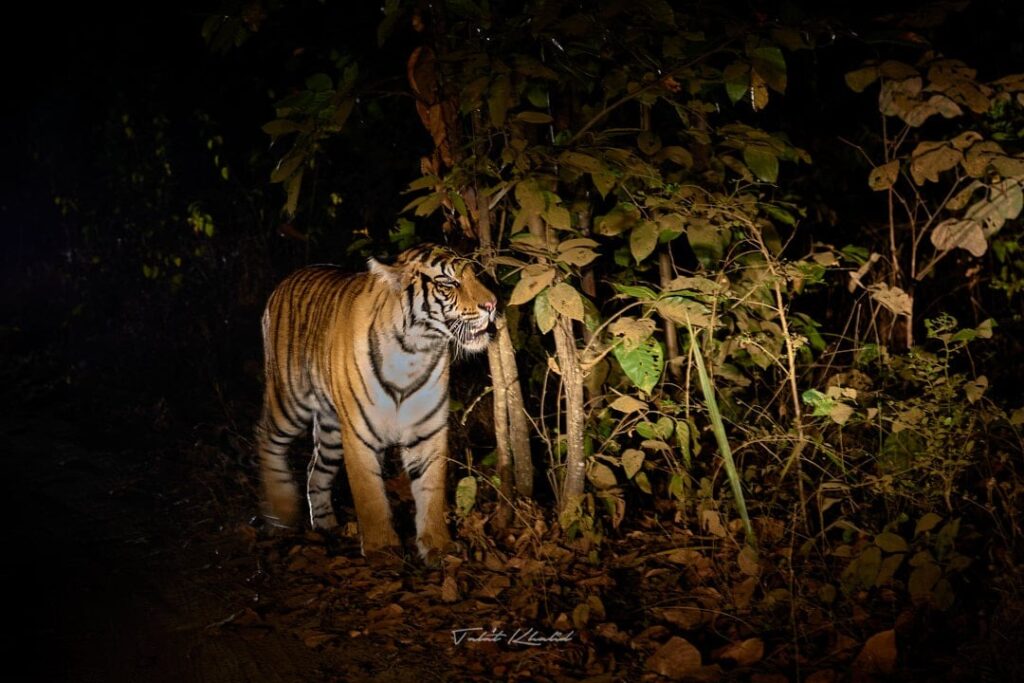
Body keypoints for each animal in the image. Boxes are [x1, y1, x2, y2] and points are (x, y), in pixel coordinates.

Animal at [254, 242, 495, 565]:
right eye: (448, 282)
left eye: (473, 275)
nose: (492, 305)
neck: (414, 352)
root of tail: (288, 278)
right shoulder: (359, 434)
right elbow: (369, 494)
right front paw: (382, 549)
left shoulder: (428, 431)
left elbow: (431, 490)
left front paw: (437, 546)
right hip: (289, 400)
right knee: (266, 437)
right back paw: (281, 511)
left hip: (331, 427)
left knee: (315, 469)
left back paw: (326, 526)